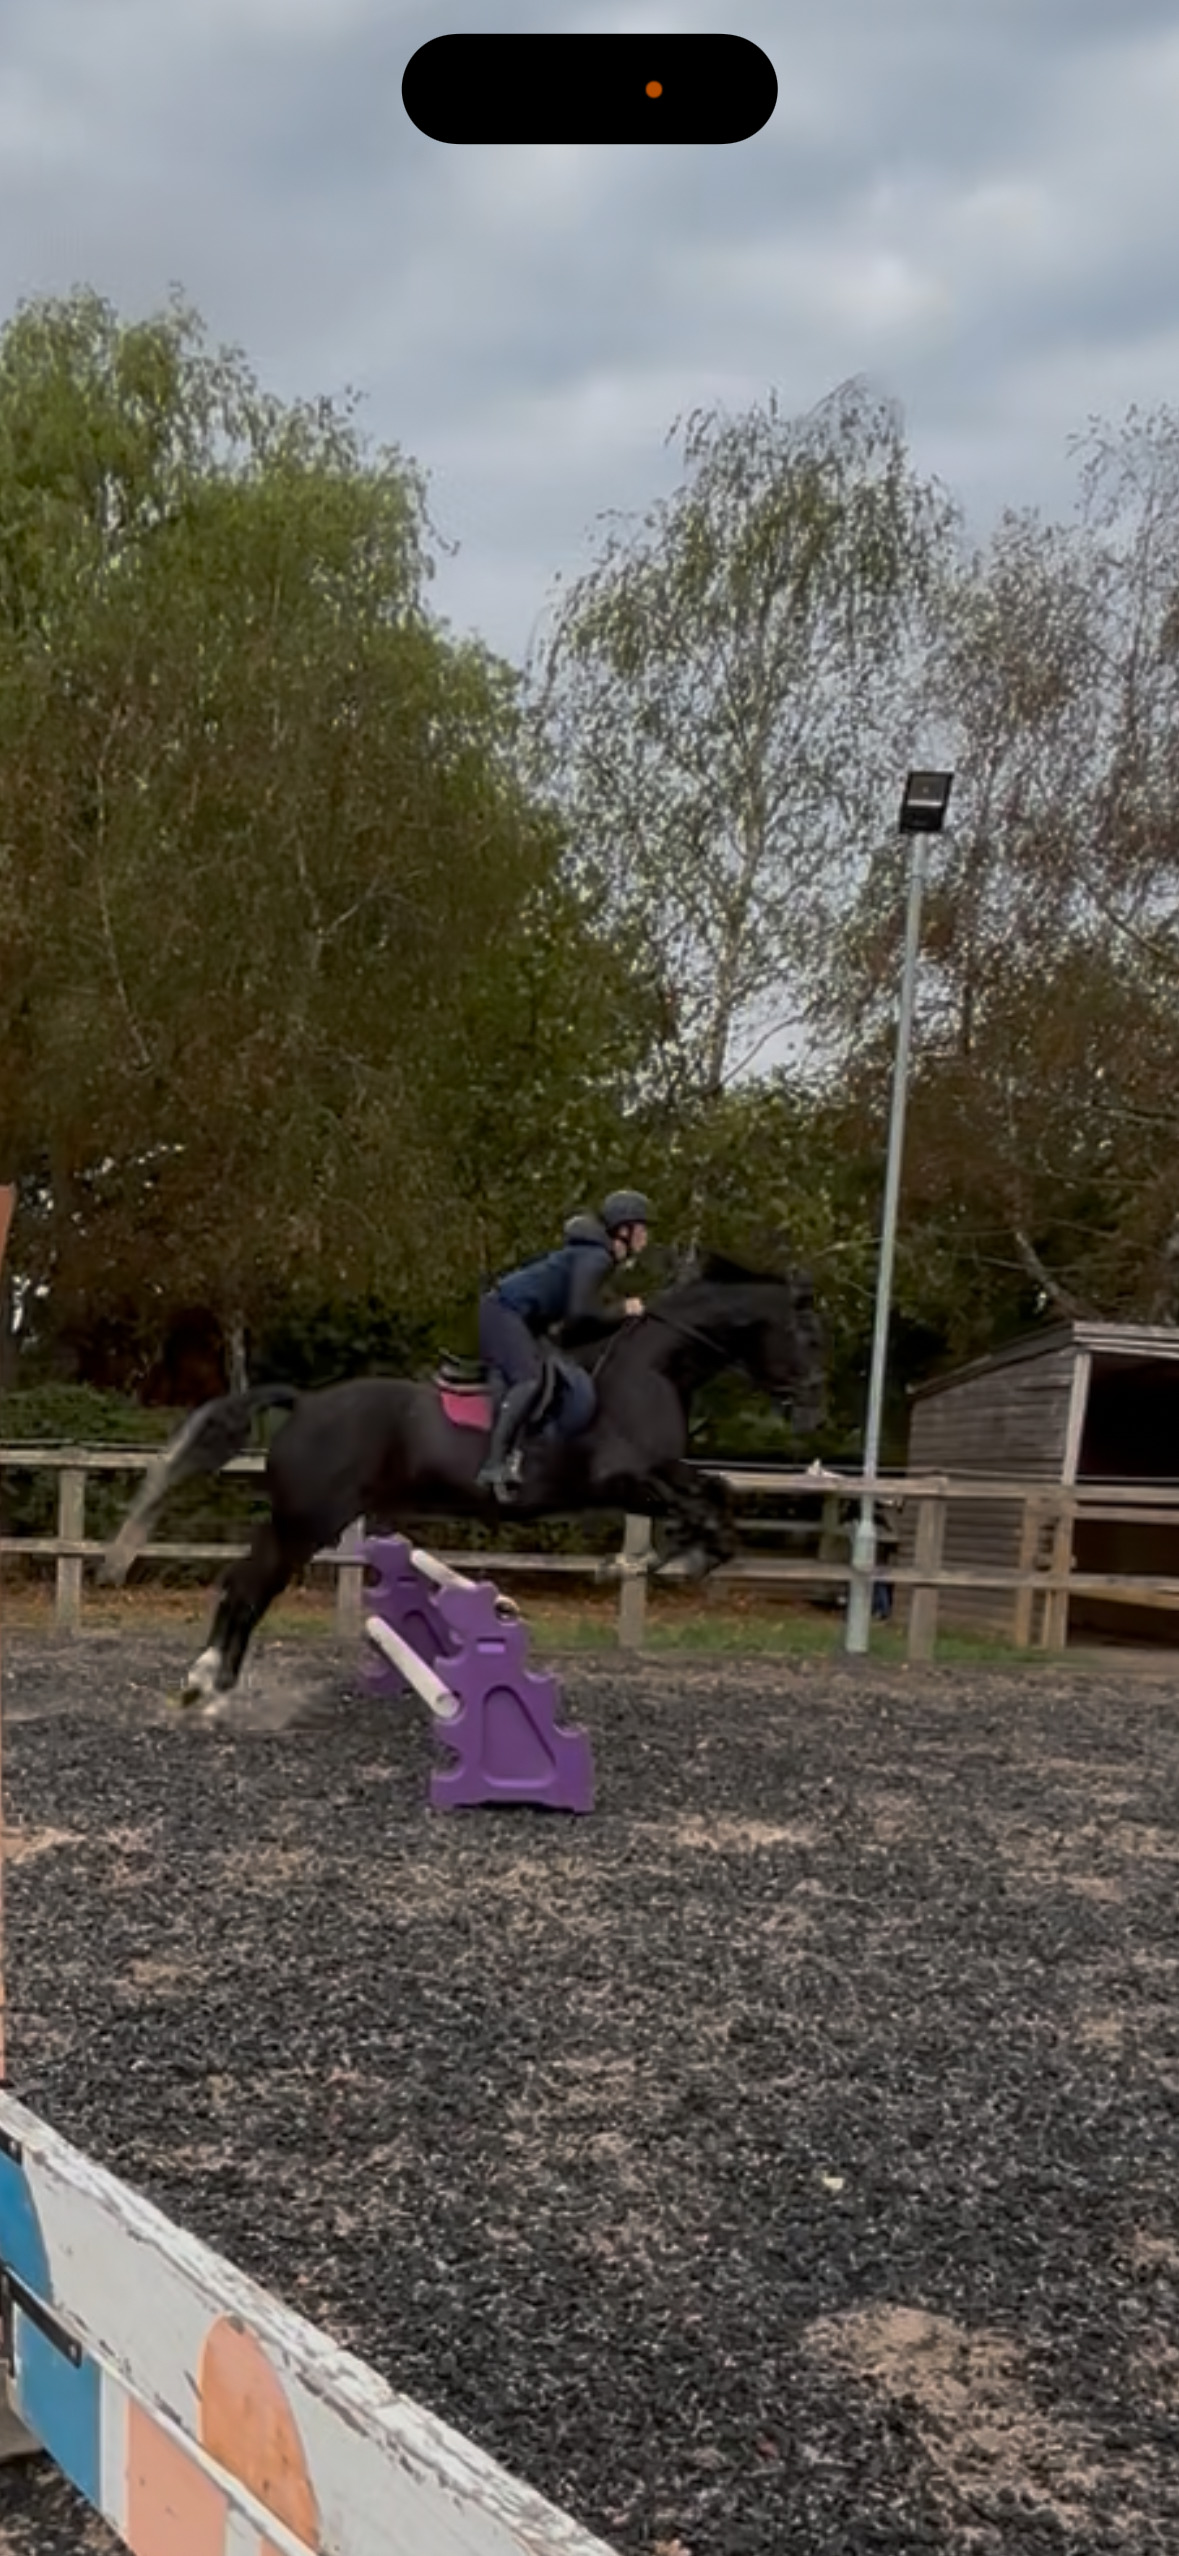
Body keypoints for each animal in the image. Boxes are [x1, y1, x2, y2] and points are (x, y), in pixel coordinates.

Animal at [98, 1253, 824, 1709]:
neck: (650, 1368)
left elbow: (716, 1494)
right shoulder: (623, 1477)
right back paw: (206, 1686)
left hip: (298, 1521)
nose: (812, 1412)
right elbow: (697, 1504)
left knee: (244, 1585)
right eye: (807, 1337)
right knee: (250, 1587)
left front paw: (676, 1557)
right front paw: (646, 1562)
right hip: (308, 1521)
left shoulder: (658, 1472)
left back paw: (212, 1684)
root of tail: (305, 1402)